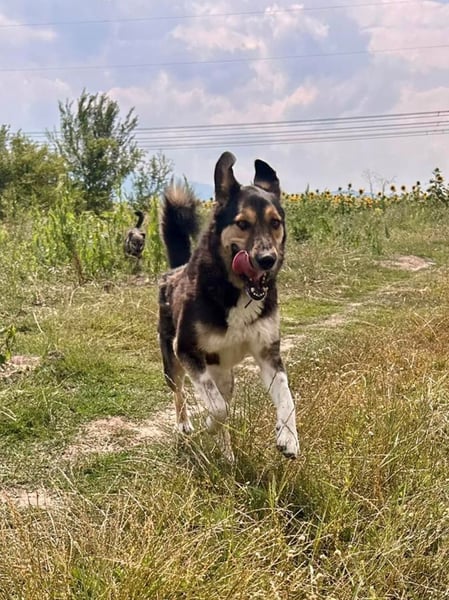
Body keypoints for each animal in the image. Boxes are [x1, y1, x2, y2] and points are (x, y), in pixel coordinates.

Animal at [158, 152, 299, 461]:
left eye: (275, 223)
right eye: (242, 224)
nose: (267, 260)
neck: (235, 290)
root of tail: (175, 270)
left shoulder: (268, 353)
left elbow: (287, 397)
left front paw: (289, 437)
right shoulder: (186, 349)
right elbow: (218, 408)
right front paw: (208, 422)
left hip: (224, 375)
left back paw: (227, 455)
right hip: (172, 362)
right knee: (180, 392)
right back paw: (184, 424)